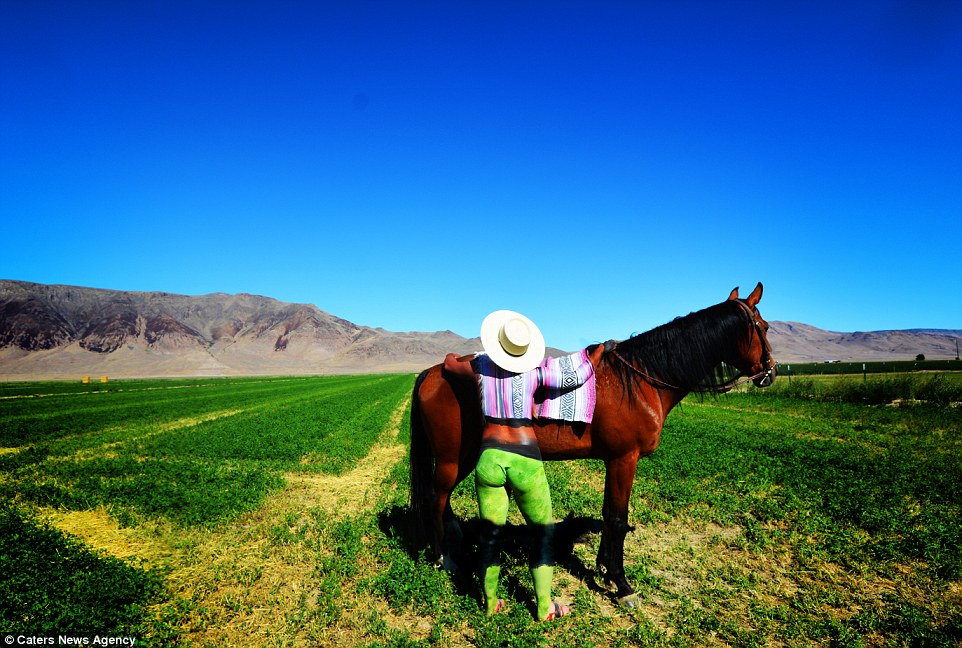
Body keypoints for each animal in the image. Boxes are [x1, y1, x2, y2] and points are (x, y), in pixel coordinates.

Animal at [404, 280, 772, 604]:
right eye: (765, 327)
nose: (769, 372)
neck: (640, 380)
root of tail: (434, 372)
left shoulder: (615, 461)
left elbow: (611, 514)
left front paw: (605, 569)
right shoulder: (625, 459)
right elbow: (617, 519)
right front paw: (621, 583)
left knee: (442, 498)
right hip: (454, 458)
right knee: (436, 498)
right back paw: (443, 559)